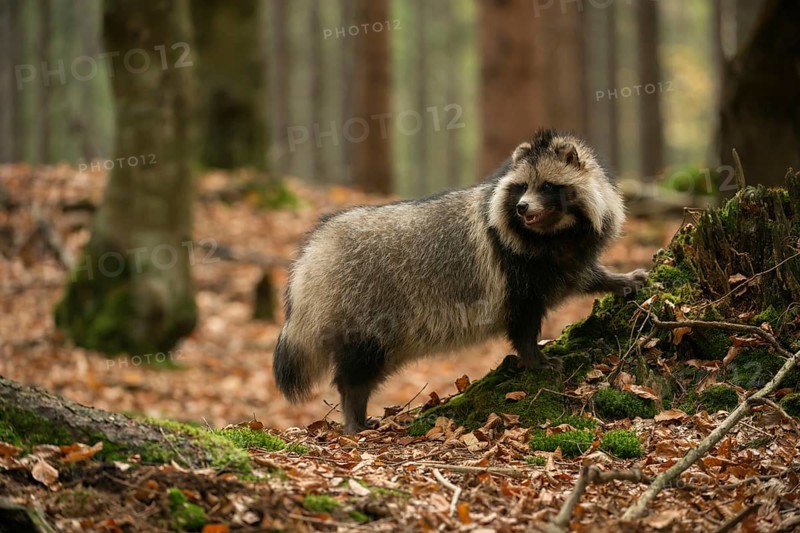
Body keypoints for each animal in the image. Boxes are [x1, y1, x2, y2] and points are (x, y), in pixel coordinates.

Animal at [274, 129, 647, 433]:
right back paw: (353, 412)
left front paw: (616, 279)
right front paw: (534, 358)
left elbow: (580, 275)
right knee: (357, 370)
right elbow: (522, 322)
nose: (523, 208)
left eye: (547, 186)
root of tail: (313, 252)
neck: (553, 234)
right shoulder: (513, 271)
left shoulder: (563, 260)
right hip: (365, 310)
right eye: (521, 188)